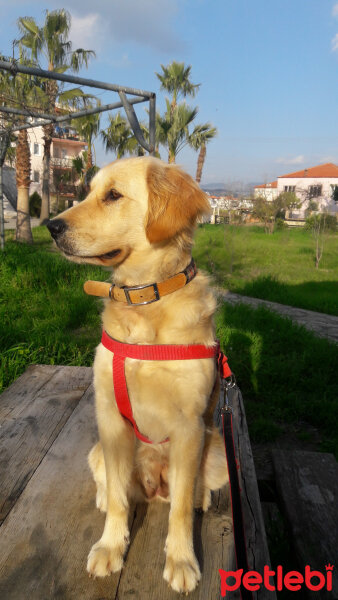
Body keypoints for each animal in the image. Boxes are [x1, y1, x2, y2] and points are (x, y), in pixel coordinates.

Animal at [46, 157, 227, 592]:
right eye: (89, 191)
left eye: (113, 195)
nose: (51, 226)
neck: (144, 299)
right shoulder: (110, 418)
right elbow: (116, 498)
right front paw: (111, 546)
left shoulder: (189, 427)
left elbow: (180, 509)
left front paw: (181, 559)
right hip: (98, 450)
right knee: (113, 487)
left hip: (216, 455)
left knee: (186, 495)